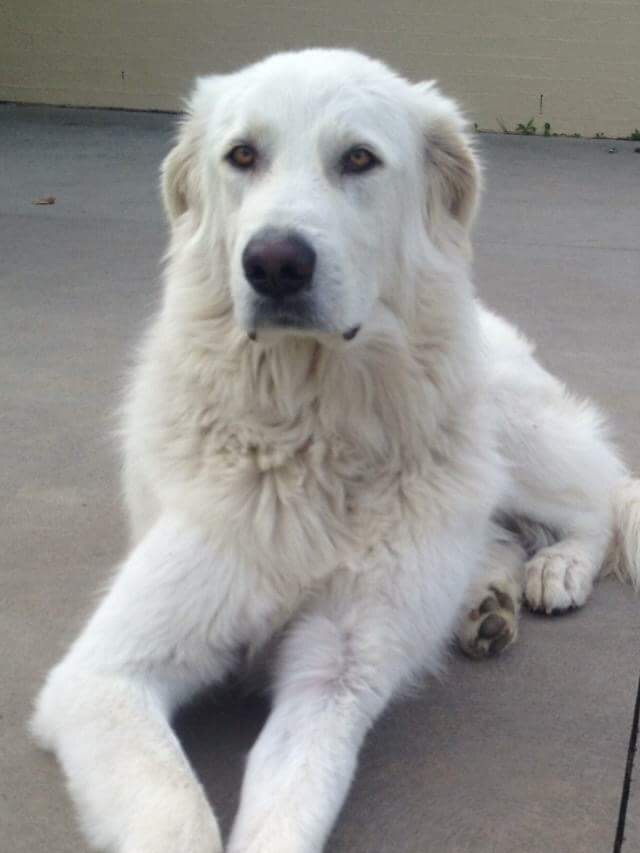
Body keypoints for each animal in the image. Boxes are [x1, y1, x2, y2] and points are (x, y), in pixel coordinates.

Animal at [31, 48, 640, 852]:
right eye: (242, 156)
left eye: (358, 159)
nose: (274, 263)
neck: (309, 435)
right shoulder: (103, 678)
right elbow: (176, 810)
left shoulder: (334, 677)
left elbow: (283, 818)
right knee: (505, 536)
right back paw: (486, 602)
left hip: (516, 435)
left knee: (598, 502)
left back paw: (556, 570)